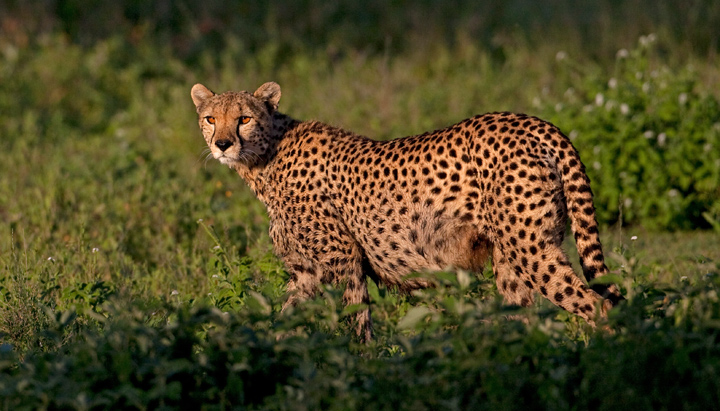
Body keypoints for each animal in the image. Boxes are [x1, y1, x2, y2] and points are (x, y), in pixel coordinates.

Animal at [191, 81, 623, 341]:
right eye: (210, 118)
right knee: (525, 318)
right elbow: (286, 317)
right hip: (511, 259)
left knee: (598, 306)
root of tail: (535, 122)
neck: (266, 158)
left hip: (530, 247)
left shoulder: (344, 256)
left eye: (244, 118)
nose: (223, 144)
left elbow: (356, 315)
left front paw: (362, 363)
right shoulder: (305, 273)